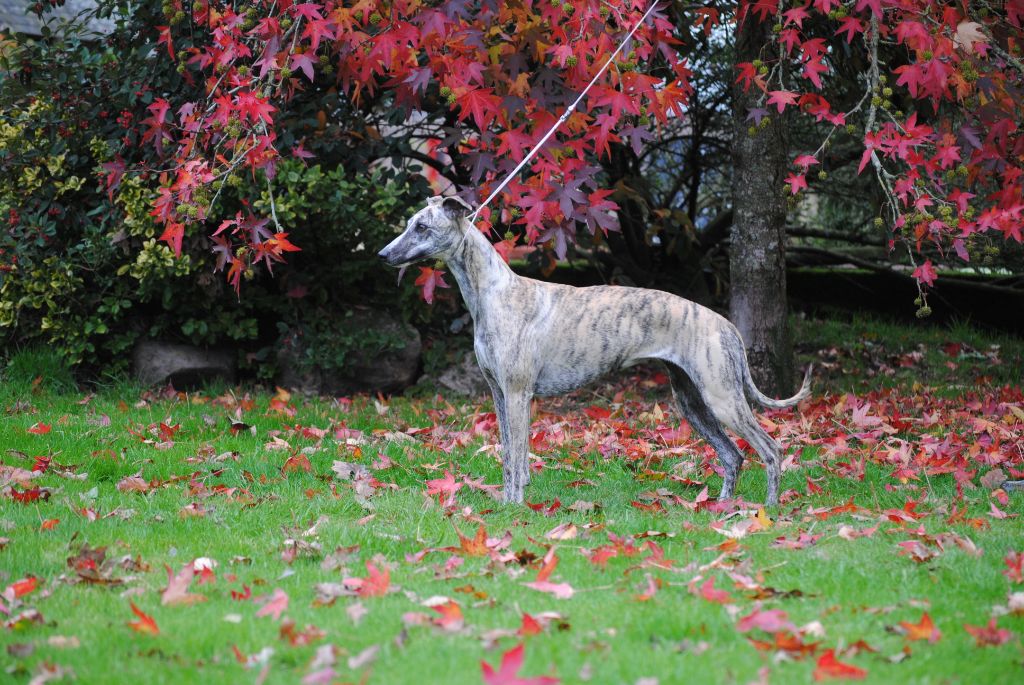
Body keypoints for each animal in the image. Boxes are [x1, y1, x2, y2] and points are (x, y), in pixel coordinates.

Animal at [380, 194, 811, 505]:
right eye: (409, 224)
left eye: (422, 226)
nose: (383, 255)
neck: (495, 292)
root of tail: (726, 325)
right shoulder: (499, 394)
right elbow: (507, 456)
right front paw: (507, 503)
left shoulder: (519, 394)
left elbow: (517, 457)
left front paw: (514, 508)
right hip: (693, 401)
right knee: (733, 455)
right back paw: (722, 509)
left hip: (722, 398)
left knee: (771, 449)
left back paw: (768, 512)